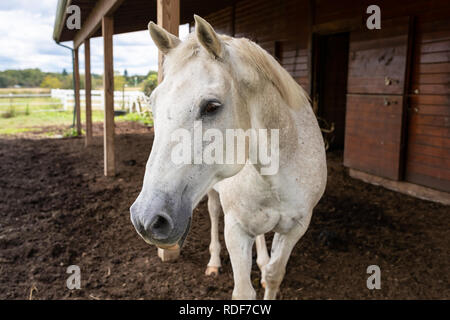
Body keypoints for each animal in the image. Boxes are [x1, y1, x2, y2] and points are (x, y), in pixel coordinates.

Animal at [130, 15, 326, 300]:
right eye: (153, 105)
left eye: (212, 106)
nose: (146, 219)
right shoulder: (236, 230)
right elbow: (243, 292)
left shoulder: (296, 228)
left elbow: (274, 275)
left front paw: (266, 271)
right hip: (212, 193)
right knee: (213, 214)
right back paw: (213, 263)